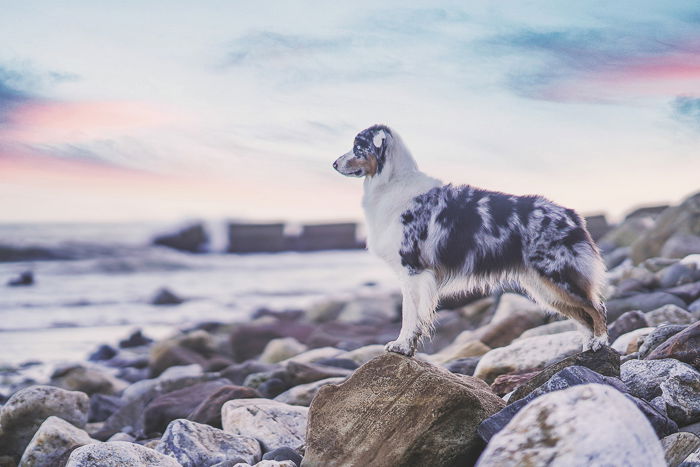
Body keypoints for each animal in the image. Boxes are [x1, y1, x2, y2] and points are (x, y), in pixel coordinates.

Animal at [332, 122, 608, 356]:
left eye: (358, 147)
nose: (334, 164)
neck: (391, 181)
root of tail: (572, 215)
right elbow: (414, 316)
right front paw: (408, 348)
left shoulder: (412, 269)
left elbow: (409, 315)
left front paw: (401, 345)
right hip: (543, 287)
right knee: (583, 316)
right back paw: (587, 346)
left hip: (558, 275)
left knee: (597, 308)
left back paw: (600, 343)